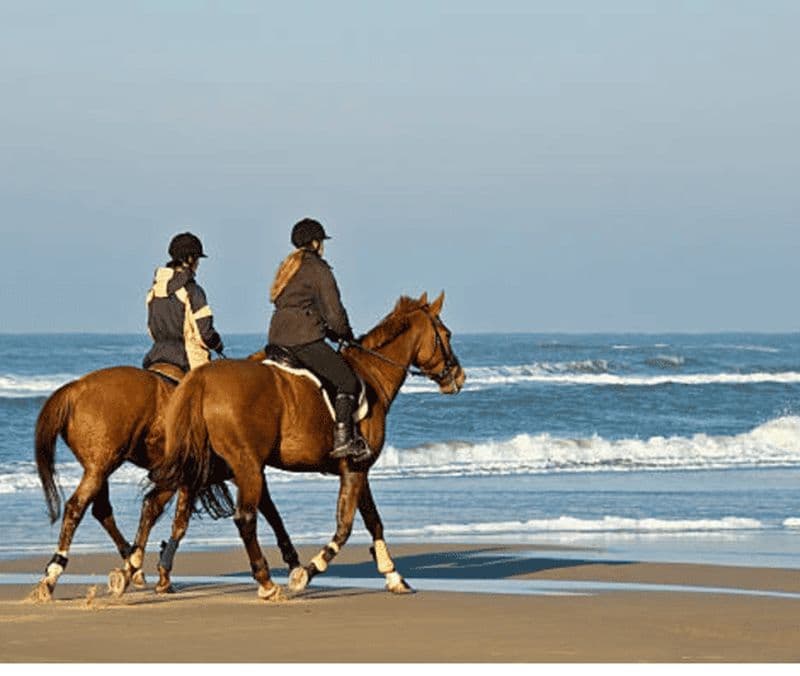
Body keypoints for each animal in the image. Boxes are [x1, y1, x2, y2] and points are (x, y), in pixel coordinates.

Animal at [33, 365, 301, 601]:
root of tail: (76, 388)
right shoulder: (241, 471)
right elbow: (268, 512)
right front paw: (293, 563)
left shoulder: (193, 479)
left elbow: (168, 517)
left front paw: (157, 573)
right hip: (100, 467)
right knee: (76, 507)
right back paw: (53, 574)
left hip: (98, 469)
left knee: (100, 510)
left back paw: (130, 564)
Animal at [149, 291, 465, 599]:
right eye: (447, 334)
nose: (459, 377)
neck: (372, 374)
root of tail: (202, 380)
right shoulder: (355, 469)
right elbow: (345, 527)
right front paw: (307, 572)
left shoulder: (358, 470)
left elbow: (373, 520)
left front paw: (394, 576)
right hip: (245, 466)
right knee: (244, 518)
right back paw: (266, 583)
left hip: (215, 466)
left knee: (179, 509)